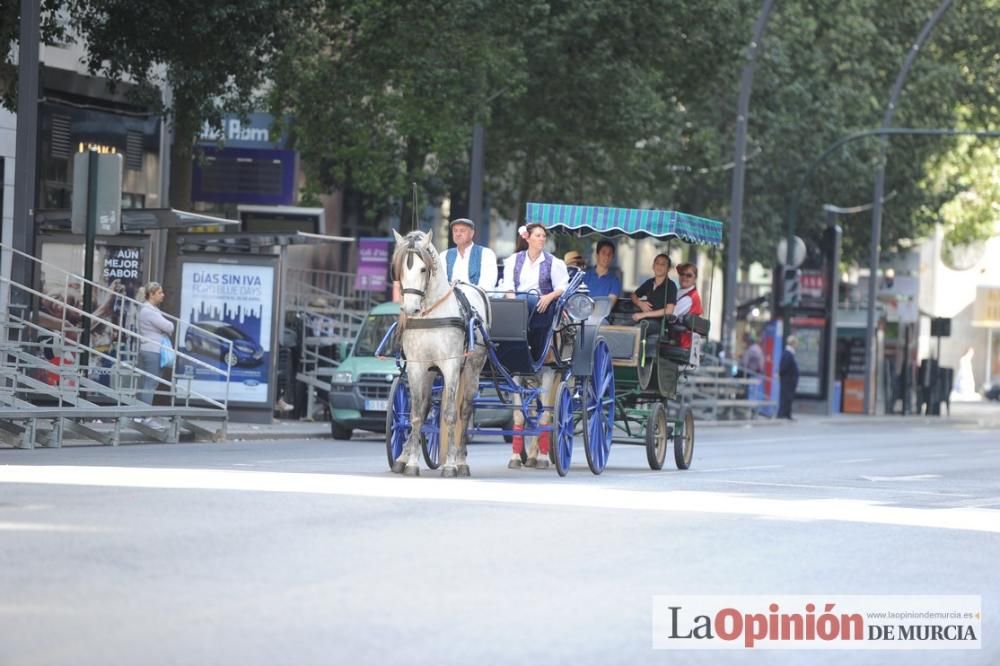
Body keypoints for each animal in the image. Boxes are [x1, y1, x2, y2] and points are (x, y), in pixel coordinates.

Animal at [388, 230, 490, 478]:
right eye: (401, 269)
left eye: (423, 269)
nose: (411, 308)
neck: (431, 314)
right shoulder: (416, 366)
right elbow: (416, 415)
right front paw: (411, 463)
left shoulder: (451, 366)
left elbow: (450, 414)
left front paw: (450, 465)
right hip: (430, 372)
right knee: (425, 408)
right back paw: (402, 457)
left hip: (472, 370)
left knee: (465, 410)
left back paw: (461, 461)